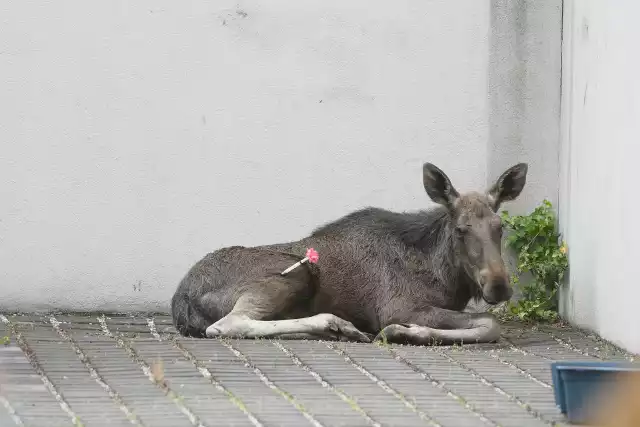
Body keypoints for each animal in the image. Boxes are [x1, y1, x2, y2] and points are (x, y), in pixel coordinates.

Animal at [172, 162, 528, 346]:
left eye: (499, 226)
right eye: (461, 229)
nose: (499, 286)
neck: (445, 276)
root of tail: (181, 301)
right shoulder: (399, 307)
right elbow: (490, 324)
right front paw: (402, 332)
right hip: (296, 271)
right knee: (228, 324)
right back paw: (337, 324)